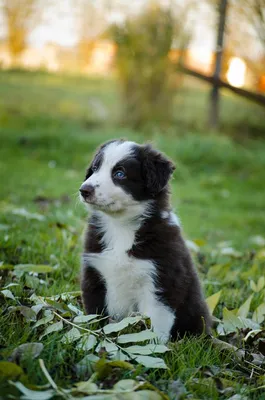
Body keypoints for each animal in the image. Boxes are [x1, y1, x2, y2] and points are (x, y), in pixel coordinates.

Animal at [78, 139, 210, 342]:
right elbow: (95, 315)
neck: (121, 226)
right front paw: (92, 338)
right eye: (95, 168)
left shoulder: (161, 281)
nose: (84, 190)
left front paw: (152, 348)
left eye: (120, 173)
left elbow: (155, 325)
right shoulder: (95, 275)